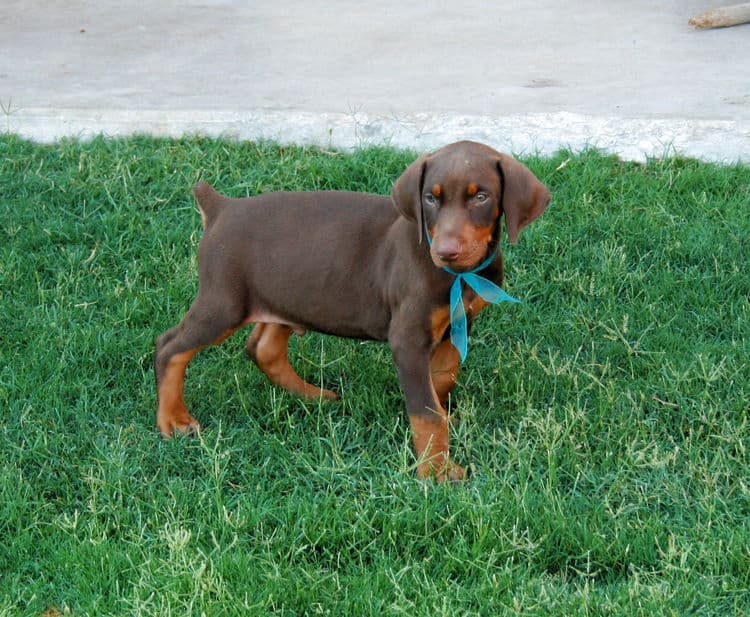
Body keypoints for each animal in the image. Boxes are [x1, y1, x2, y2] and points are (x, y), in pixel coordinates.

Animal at [154, 141, 552, 482]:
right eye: (430, 198)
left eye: (481, 196)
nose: (446, 252)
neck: (457, 276)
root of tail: (222, 207)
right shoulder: (407, 338)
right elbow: (424, 411)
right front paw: (436, 471)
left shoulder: (460, 323)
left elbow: (441, 379)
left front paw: (443, 425)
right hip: (225, 302)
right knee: (169, 346)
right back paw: (173, 420)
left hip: (287, 296)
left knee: (263, 349)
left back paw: (313, 396)